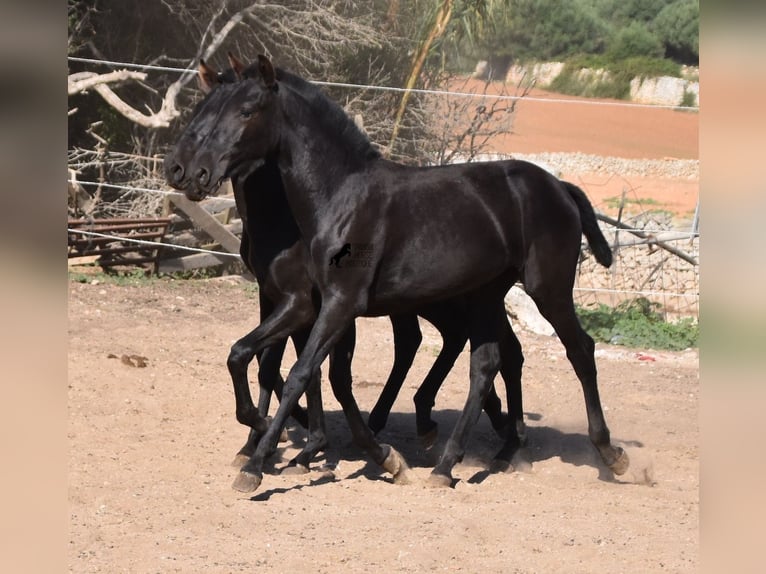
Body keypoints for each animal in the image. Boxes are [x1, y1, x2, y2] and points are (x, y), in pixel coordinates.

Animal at [165, 55, 628, 496]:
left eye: (246, 111)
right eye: (205, 109)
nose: (188, 170)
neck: (341, 197)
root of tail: (560, 187)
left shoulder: (334, 304)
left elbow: (299, 373)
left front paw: (260, 463)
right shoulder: (304, 303)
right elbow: (252, 357)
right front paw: (276, 440)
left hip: (547, 289)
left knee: (579, 350)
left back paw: (608, 453)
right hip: (484, 296)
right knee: (488, 362)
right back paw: (451, 463)